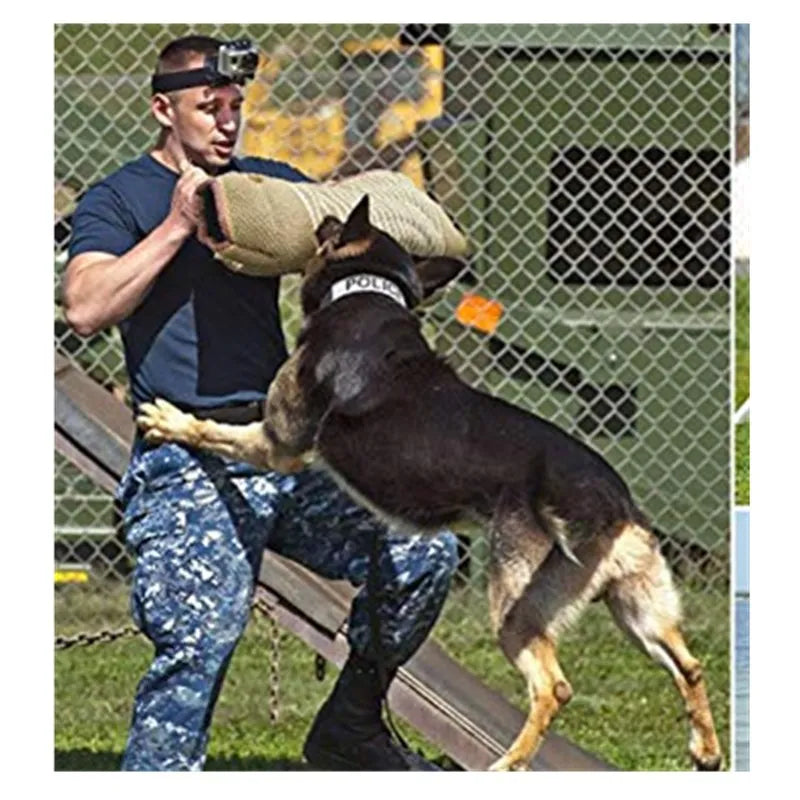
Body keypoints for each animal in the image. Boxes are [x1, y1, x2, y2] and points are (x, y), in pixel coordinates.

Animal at [139, 197, 724, 772]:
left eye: (333, 227)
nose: (321, 216)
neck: (366, 291)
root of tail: (610, 501)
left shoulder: (278, 442)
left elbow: (217, 432)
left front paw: (171, 421)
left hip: (517, 606)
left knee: (554, 687)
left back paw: (508, 764)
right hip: (637, 607)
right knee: (690, 664)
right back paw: (707, 751)